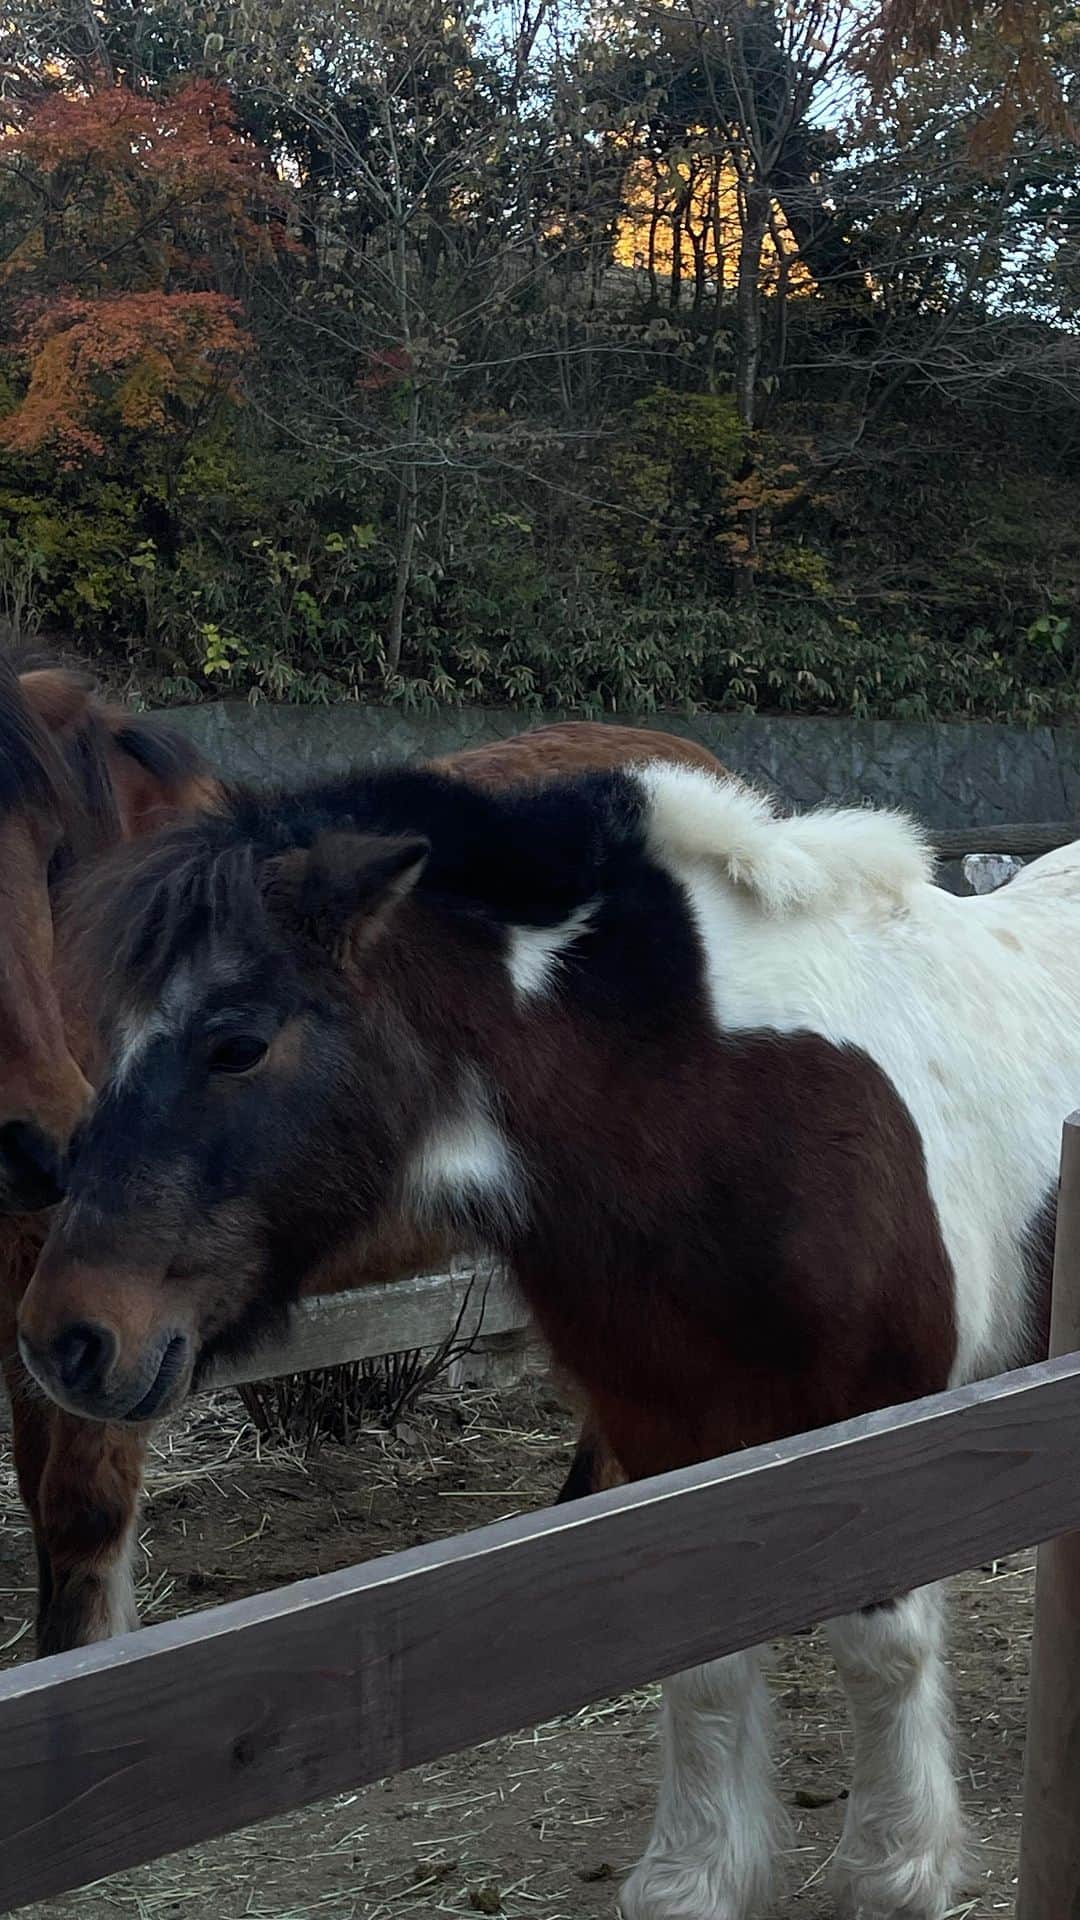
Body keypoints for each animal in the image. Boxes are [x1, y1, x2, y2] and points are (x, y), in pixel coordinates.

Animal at [21, 756, 1060, 1912]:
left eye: (237, 1042)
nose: (66, 1339)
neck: (725, 1107)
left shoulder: (888, 1429)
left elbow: (883, 1653)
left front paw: (897, 1873)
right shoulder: (666, 1432)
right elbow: (701, 1652)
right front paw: (693, 1880)